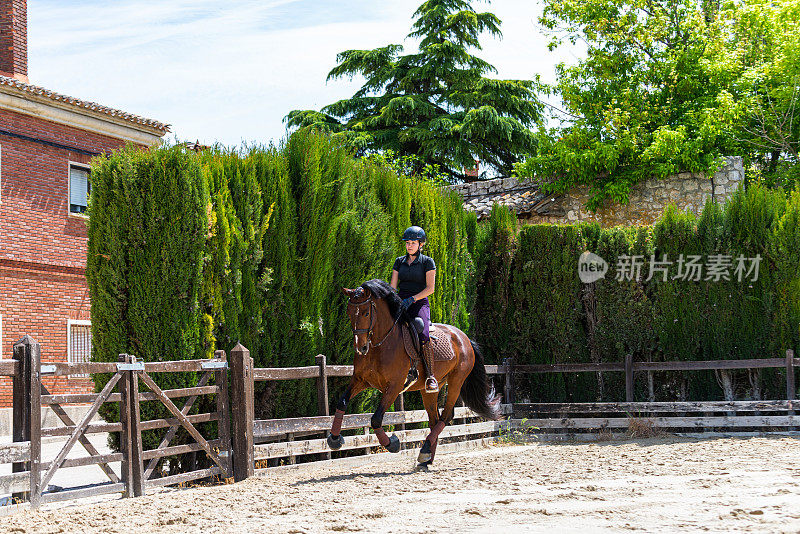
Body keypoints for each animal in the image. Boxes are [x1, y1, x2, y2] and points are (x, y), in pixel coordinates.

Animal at [326, 280, 500, 468]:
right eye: (349, 313)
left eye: (366, 313)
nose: (360, 348)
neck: (380, 344)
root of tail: (463, 337)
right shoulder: (360, 380)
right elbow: (342, 402)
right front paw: (334, 439)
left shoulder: (394, 387)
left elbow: (376, 419)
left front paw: (392, 443)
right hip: (430, 389)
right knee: (434, 420)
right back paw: (427, 457)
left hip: (456, 381)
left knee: (446, 416)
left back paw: (425, 451)